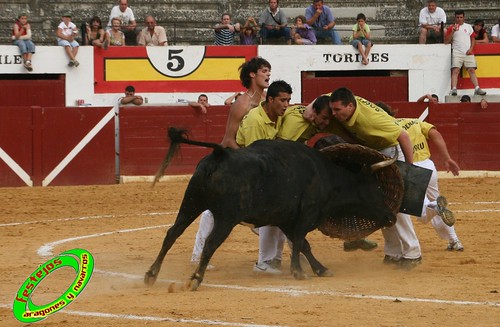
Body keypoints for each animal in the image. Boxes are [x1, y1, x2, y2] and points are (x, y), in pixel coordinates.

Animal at [144, 129, 398, 292]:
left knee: (172, 234)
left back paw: (151, 275)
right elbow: (300, 242)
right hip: (226, 218)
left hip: (191, 203)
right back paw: (196, 279)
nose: (391, 216)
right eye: (375, 190)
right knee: (210, 244)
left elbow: (303, 245)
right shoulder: (305, 215)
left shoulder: (285, 219)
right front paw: (299, 272)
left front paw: (320, 269)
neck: (326, 176)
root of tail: (220, 154)